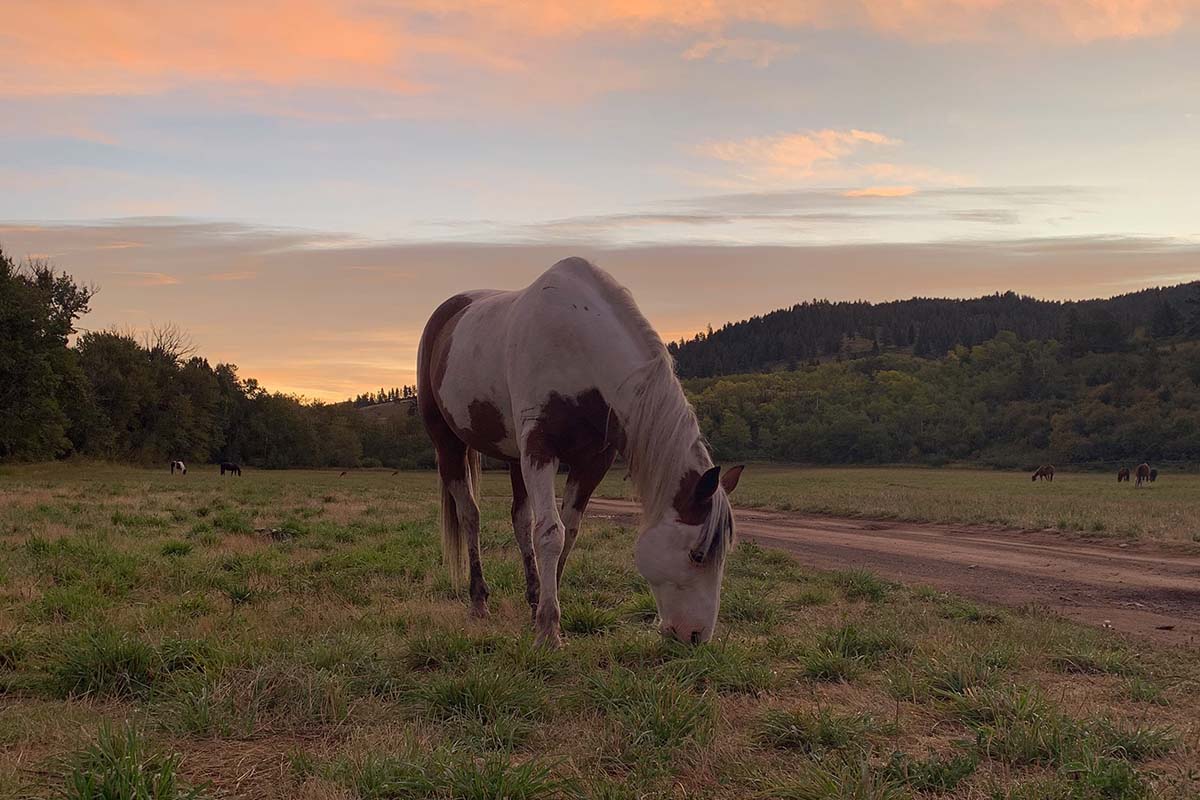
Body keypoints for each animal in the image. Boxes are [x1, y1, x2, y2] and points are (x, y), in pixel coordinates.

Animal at [420, 260, 739, 647]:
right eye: (697, 554)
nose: (695, 637)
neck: (578, 346)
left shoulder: (592, 462)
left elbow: (567, 533)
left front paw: (544, 613)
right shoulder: (540, 448)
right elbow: (550, 533)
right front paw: (548, 632)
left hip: (514, 457)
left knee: (520, 520)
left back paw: (531, 597)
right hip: (448, 443)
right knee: (470, 515)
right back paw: (478, 602)